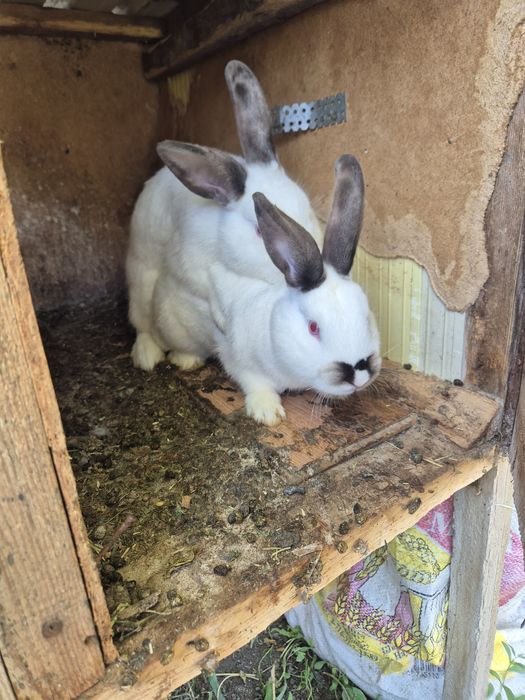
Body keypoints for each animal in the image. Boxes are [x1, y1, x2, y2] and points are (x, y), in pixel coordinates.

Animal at [126, 59, 322, 372]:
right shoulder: (190, 265)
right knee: (142, 324)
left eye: (310, 212)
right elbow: (208, 287)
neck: (221, 237)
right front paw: (220, 319)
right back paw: (147, 356)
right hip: (140, 283)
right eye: (259, 231)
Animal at [208, 155, 381, 426]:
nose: (359, 373)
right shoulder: (240, 361)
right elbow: (255, 383)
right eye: (313, 328)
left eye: (367, 318)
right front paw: (268, 413)